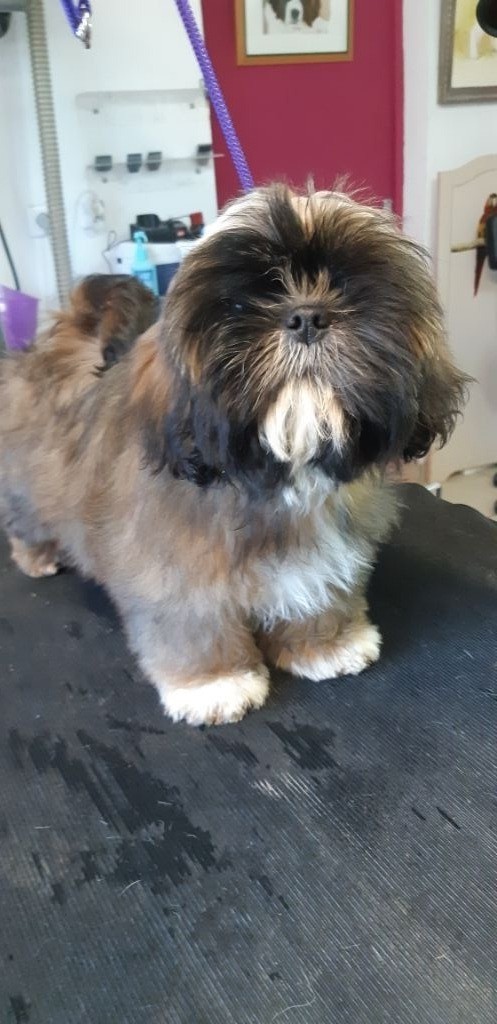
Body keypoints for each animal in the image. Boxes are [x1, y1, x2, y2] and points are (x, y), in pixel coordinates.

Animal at [0, 185, 467, 726]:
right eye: (245, 302)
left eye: (344, 287)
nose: (307, 317)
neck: (282, 468)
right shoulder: (174, 569)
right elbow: (193, 622)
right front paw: (213, 682)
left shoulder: (323, 550)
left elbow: (319, 589)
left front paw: (326, 644)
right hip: (27, 488)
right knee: (26, 522)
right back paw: (37, 557)